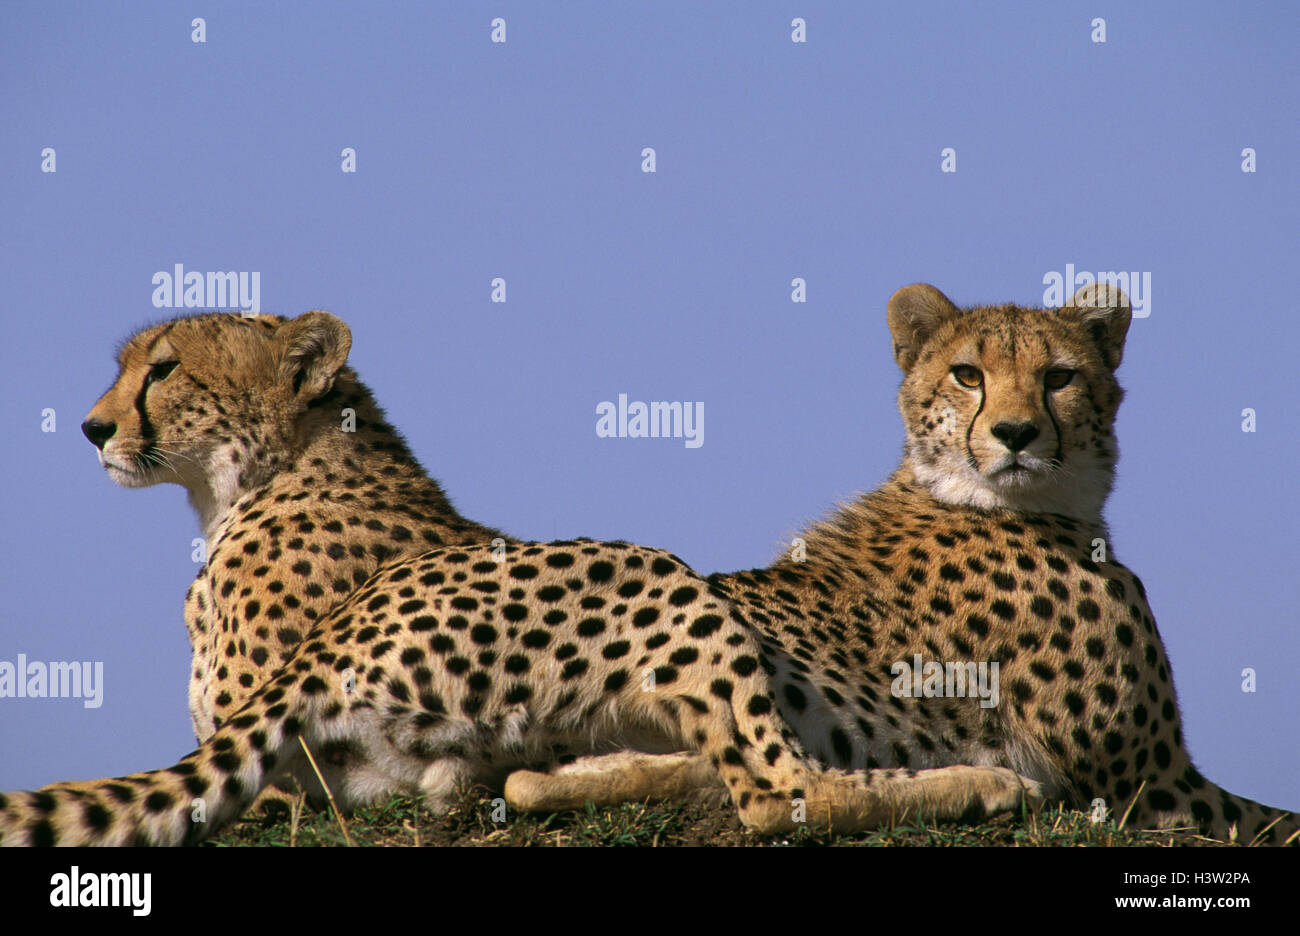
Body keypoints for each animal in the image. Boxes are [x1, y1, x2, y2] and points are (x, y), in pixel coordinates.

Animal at [0, 308, 1041, 845]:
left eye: (164, 369)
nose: (92, 427)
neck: (270, 471)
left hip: (648, 569)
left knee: (782, 791)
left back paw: (988, 783)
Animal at [505, 283, 1298, 845]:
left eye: (1060, 377)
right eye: (968, 374)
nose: (1015, 433)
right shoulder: (1156, 786)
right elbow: (1278, 819)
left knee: (531, 782)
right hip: (663, 578)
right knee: (774, 795)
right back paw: (987, 785)